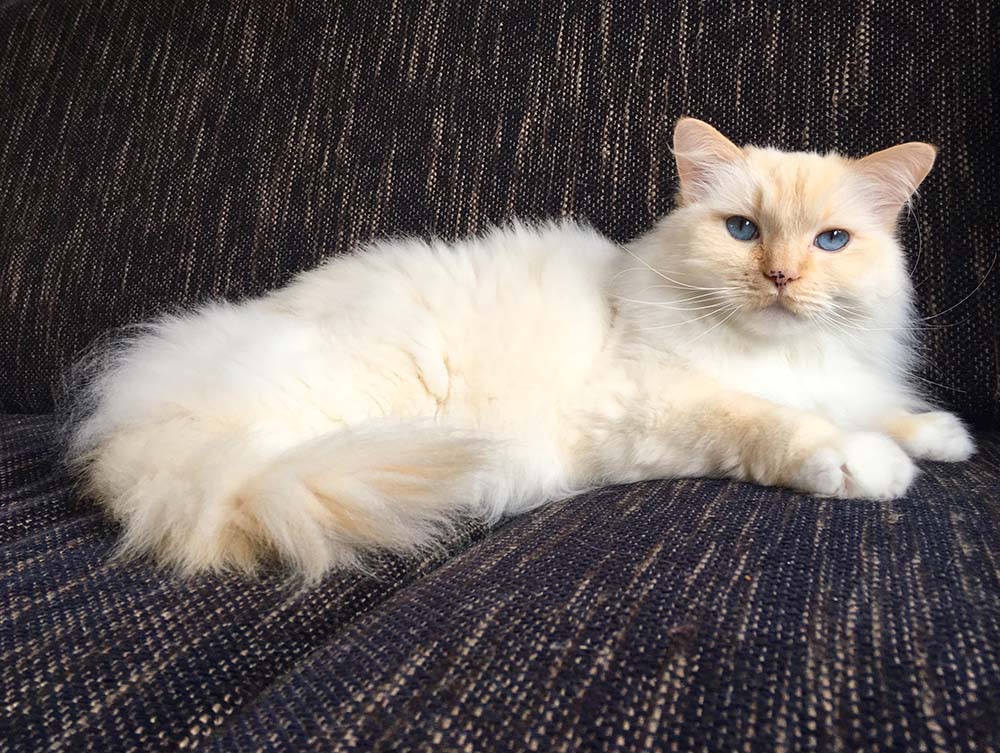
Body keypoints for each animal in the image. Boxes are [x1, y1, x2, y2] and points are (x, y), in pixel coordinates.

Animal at [70, 117, 976, 580]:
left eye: (832, 241)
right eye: (743, 231)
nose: (783, 276)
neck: (775, 354)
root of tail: (135, 423)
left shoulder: (843, 379)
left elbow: (882, 408)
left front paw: (941, 436)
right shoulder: (660, 406)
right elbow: (778, 425)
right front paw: (869, 466)